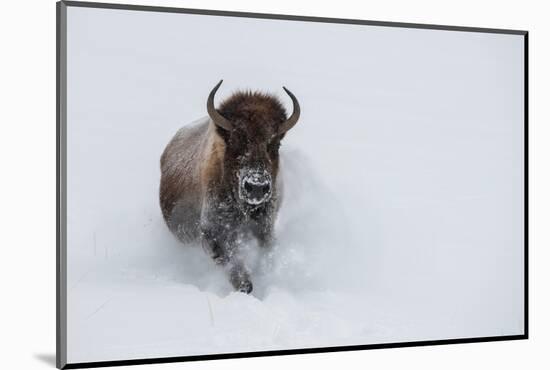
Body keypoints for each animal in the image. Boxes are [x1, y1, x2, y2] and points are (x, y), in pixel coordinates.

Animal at [161, 79, 302, 294]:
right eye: (236, 140)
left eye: (275, 143)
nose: (256, 187)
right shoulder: (214, 234)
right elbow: (235, 267)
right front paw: (246, 287)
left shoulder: (265, 227)